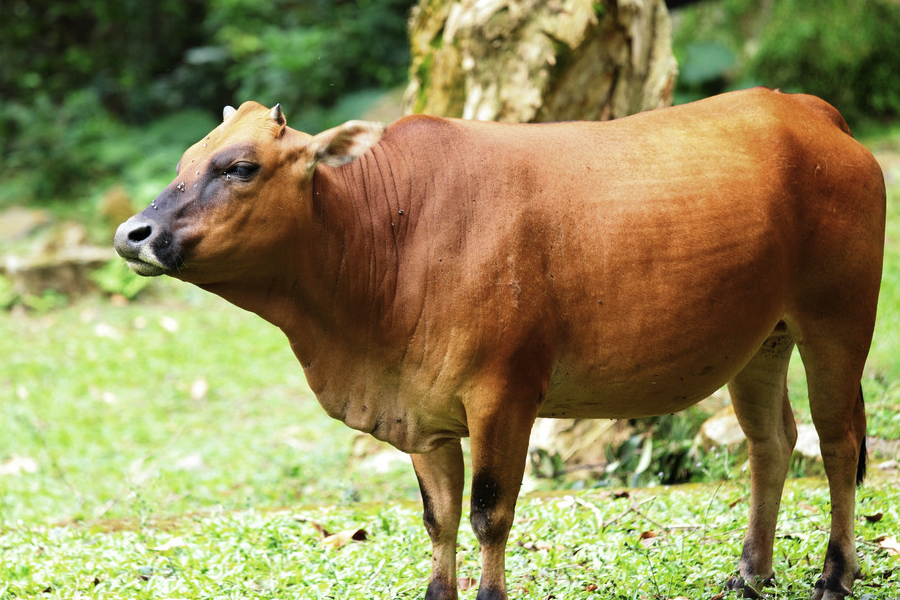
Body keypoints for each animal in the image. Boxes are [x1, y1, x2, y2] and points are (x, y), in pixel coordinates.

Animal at [114, 89, 884, 600]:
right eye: (188, 160)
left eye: (240, 167)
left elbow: (490, 513)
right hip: (762, 340)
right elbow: (439, 518)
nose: (132, 234)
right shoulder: (422, 413)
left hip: (837, 320)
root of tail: (812, 111)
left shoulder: (503, 394)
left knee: (838, 442)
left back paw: (834, 574)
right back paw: (751, 571)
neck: (387, 236)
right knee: (771, 442)